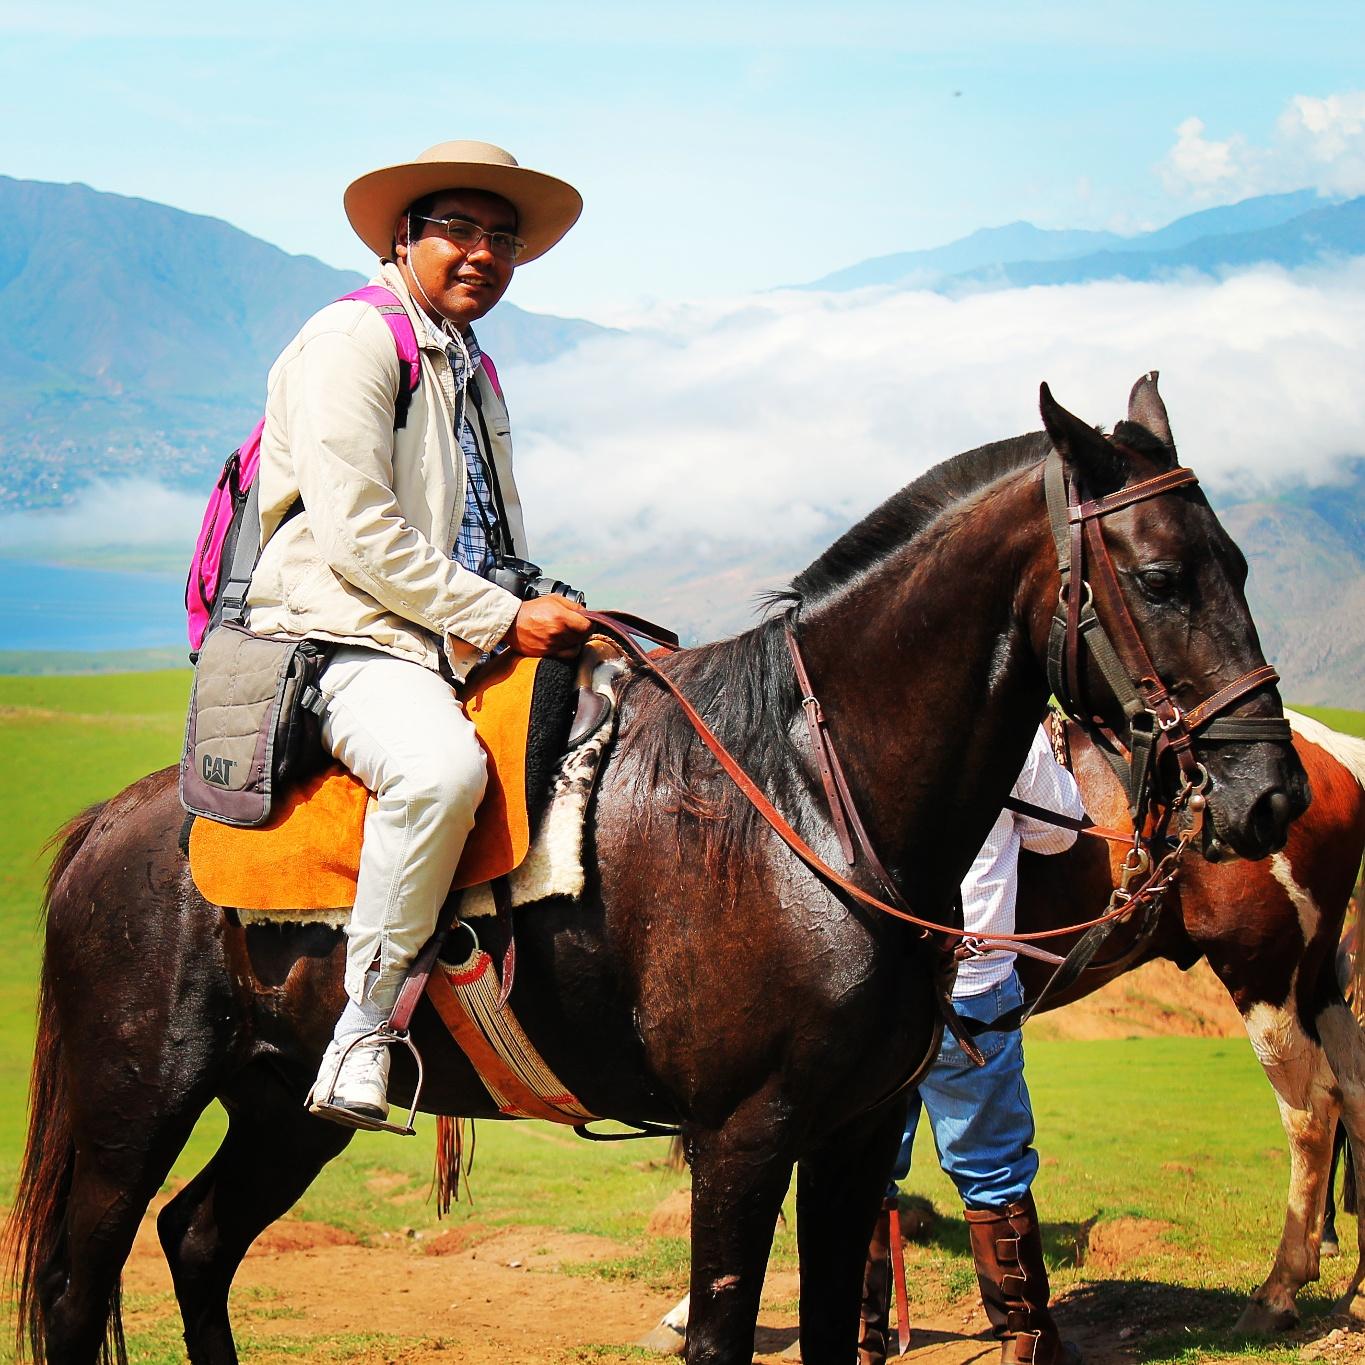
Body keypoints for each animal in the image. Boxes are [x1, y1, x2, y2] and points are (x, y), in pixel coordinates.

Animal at [10, 376, 1310, 1365]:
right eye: (1160, 578)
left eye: (1248, 566)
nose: (1272, 795)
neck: (807, 800)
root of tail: (109, 825)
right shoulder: (742, 1136)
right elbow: (725, 1335)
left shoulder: (854, 1131)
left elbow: (834, 1330)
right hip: (135, 1108)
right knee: (83, 1284)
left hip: (284, 1105)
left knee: (198, 1244)